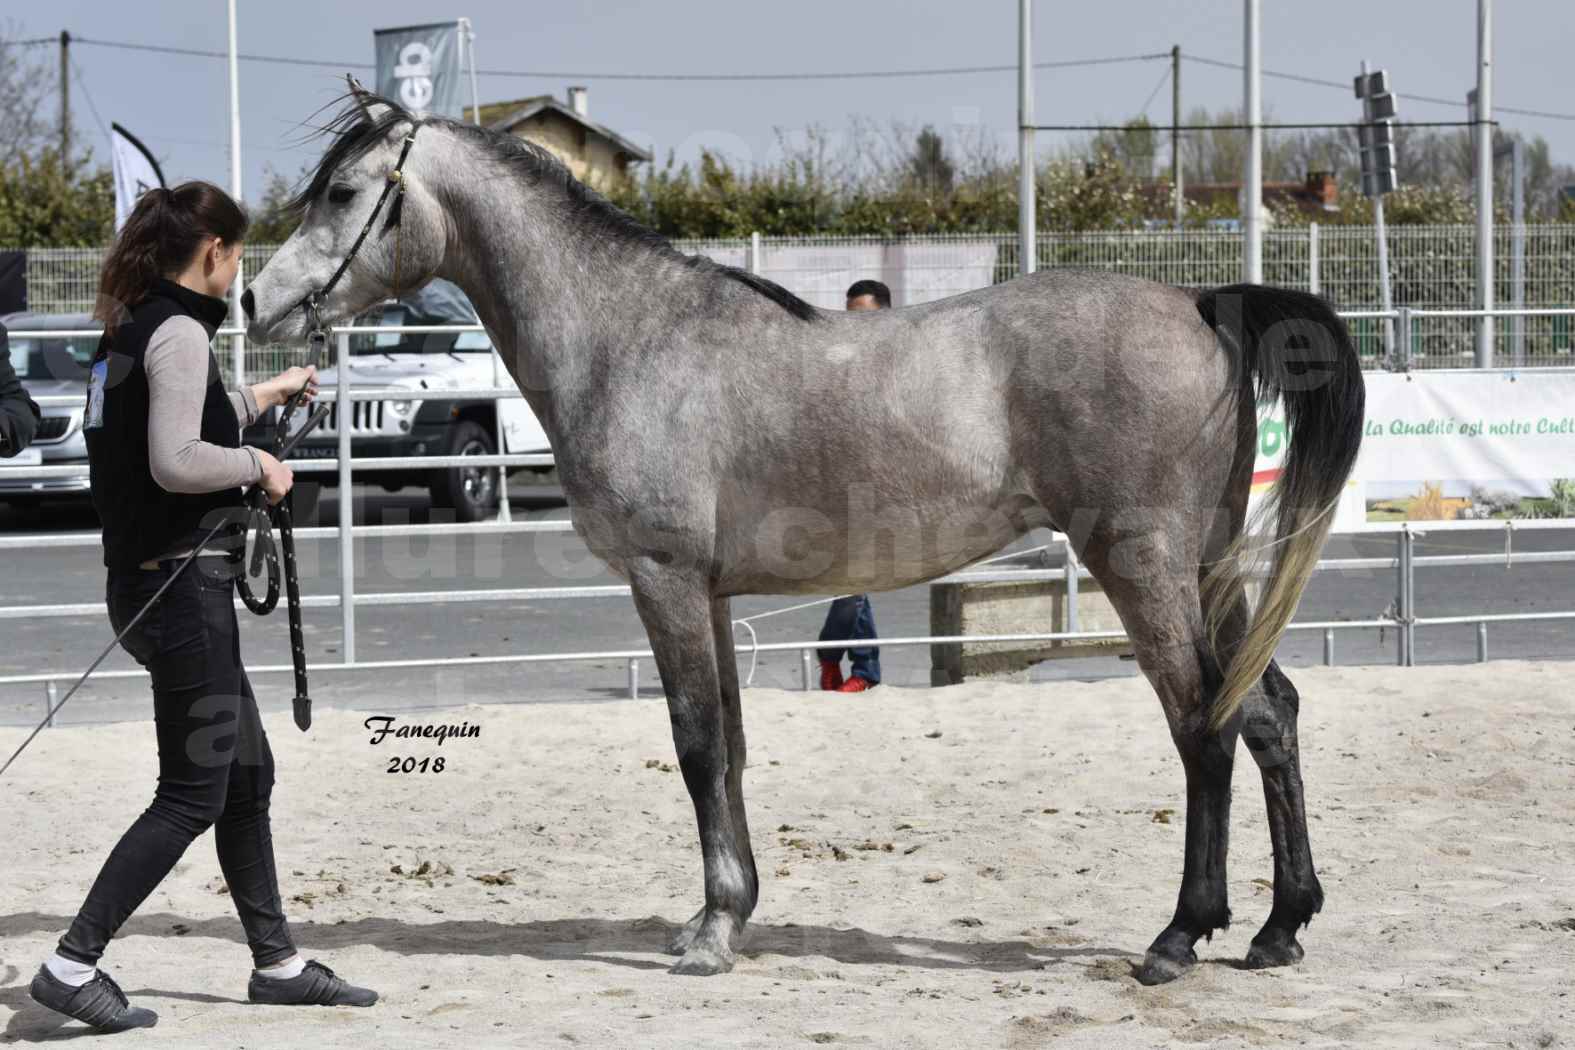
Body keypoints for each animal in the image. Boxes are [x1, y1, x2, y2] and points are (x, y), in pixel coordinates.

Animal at [245, 90, 1367, 988]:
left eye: (343, 193)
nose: (258, 302)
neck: (631, 337)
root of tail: (1198, 300)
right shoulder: (708, 596)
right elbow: (732, 749)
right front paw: (729, 911)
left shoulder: (663, 583)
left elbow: (696, 746)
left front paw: (709, 933)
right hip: (1210, 570)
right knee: (1267, 712)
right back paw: (1279, 927)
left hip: (1141, 568)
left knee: (1202, 724)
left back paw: (1181, 937)